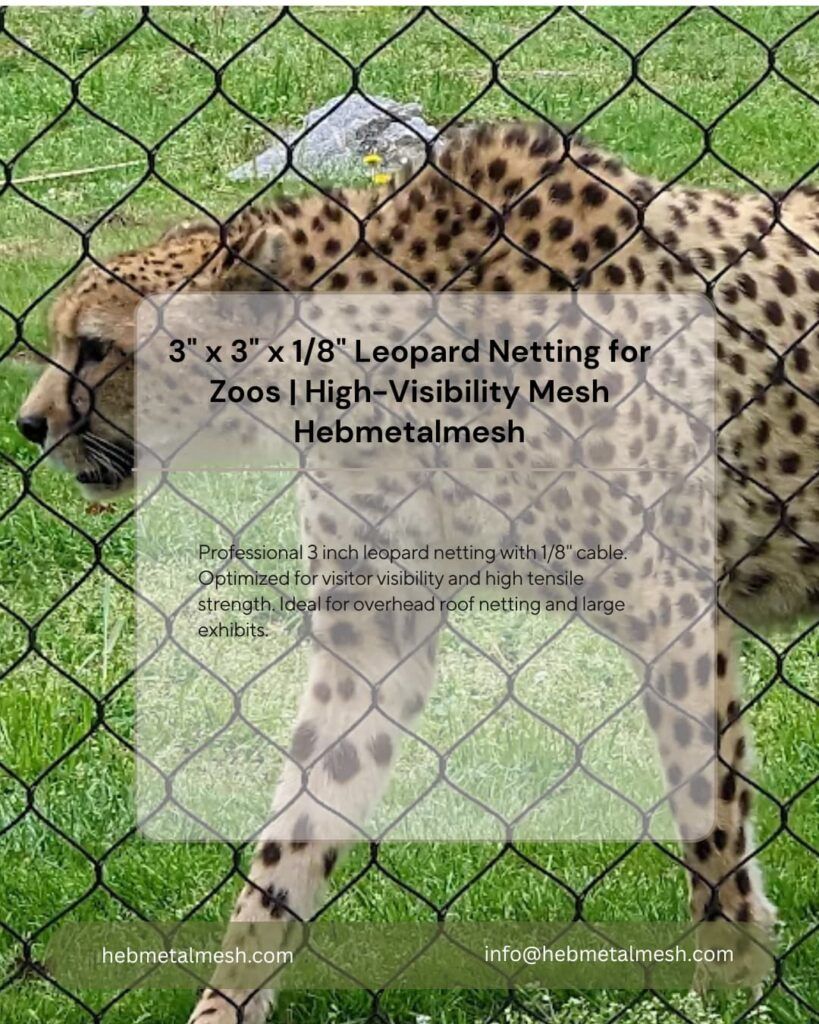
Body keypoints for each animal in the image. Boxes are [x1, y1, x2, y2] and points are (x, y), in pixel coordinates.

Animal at [17, 121, 819, 1023]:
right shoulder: (372, 635)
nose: (29, 424)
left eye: (95, 347)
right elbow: (297, 827)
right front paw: (227, 1001)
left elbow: (704, 810)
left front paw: (728, 980)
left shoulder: (669, 607)